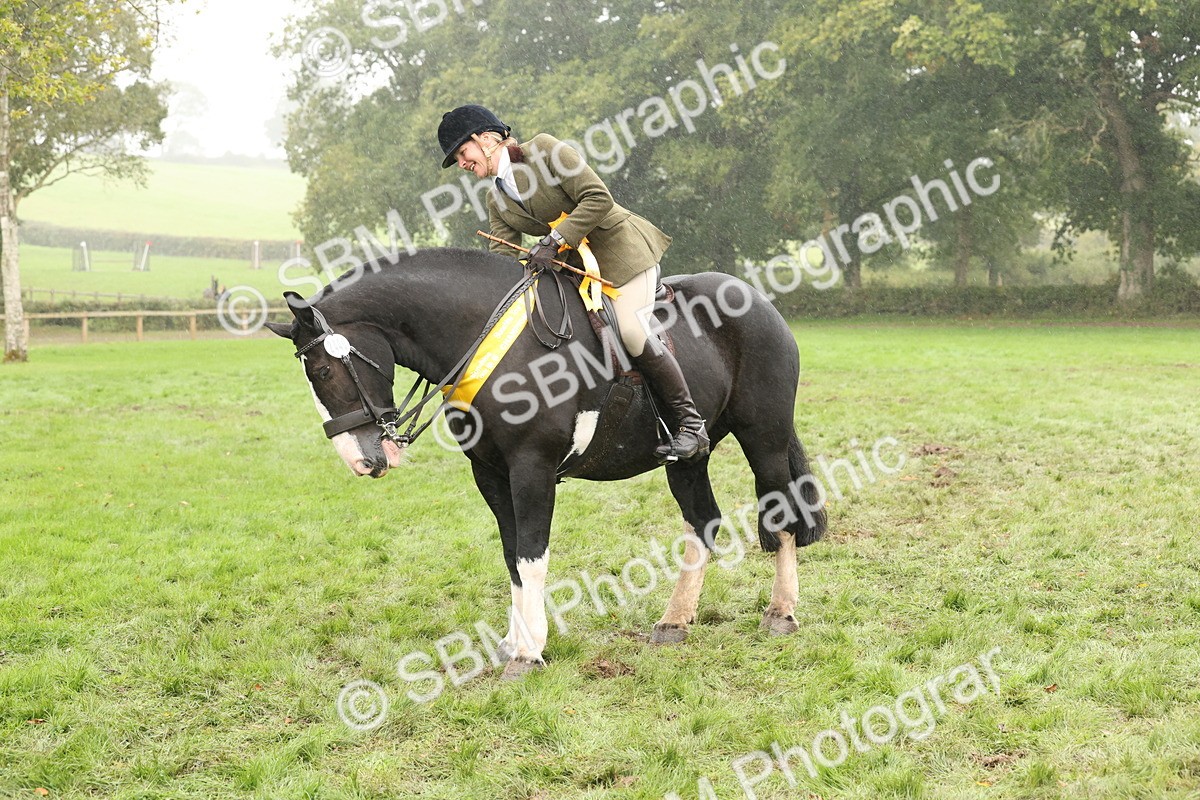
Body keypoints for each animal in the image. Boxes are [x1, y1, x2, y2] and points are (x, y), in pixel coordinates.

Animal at [264, 248, 827, 679]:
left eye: (323, 370)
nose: (360, 460)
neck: (491, 340)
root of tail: (759, 301)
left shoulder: (531, 469)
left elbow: (532, 555)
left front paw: (529, 652)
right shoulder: (491, 474)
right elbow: (513, 556)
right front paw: (514, 642)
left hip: (764, 437)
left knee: (780, 516)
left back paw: (781, 612)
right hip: (687, 458)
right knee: (702, 522)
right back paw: (675, 620)